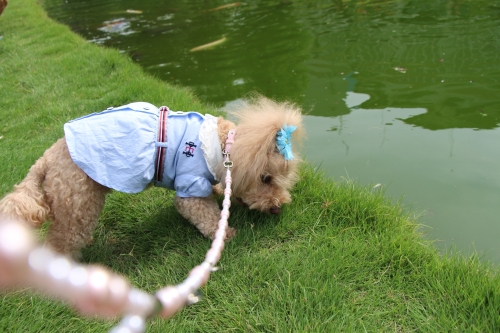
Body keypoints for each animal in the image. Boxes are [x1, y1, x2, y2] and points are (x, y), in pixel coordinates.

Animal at [0, 97, 302, 258]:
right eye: (265, 178)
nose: (277, 207)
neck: (220, 145)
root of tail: (45, 159)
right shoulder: (189, 186)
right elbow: (204, 214)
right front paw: (226, 234)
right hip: (78, 202)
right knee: (61, 242)